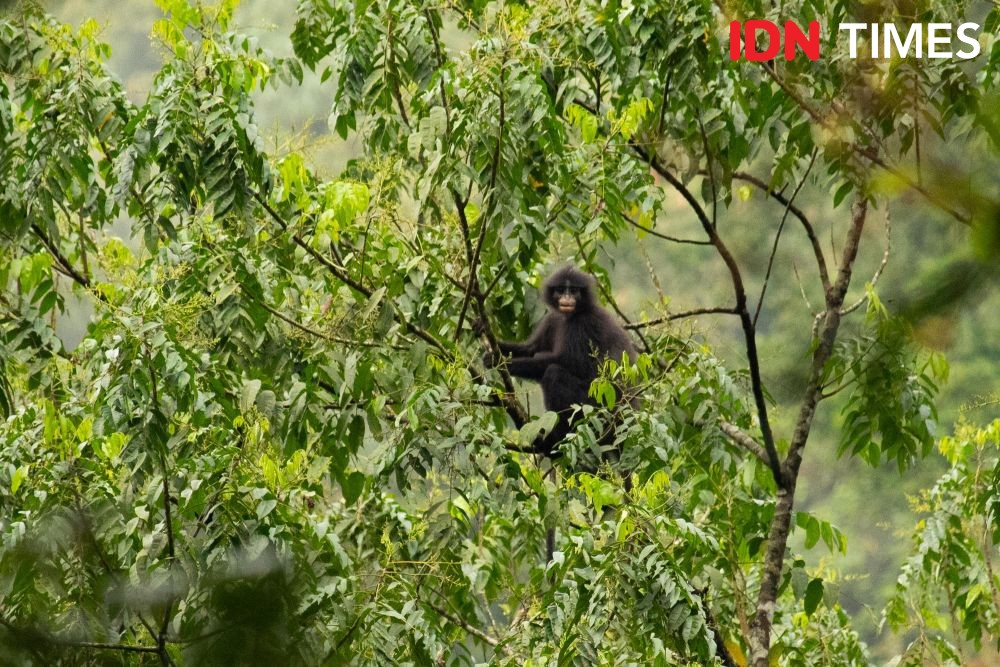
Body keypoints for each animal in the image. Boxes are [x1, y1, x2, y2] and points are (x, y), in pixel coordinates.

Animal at [486, 266, 640, 460]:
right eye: (560, 290)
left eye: (573, 290)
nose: (567, 298)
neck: (570, 316)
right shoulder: (552, 319)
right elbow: (531, 348)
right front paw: (484, 332)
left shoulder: (584, 323)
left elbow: (570, 363)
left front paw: (499, 362)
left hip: (596, 409)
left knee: (554, 374)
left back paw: (556, 439)